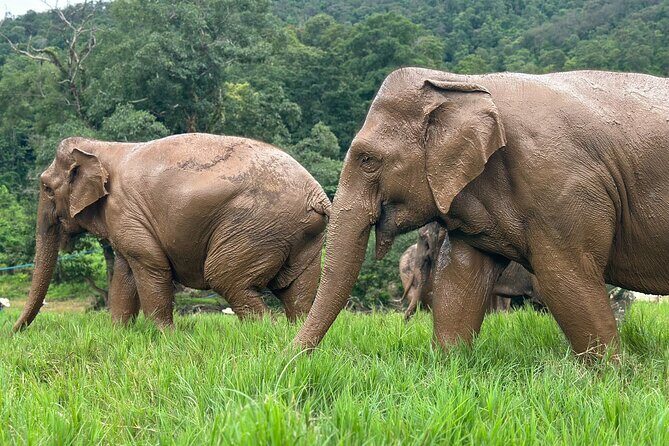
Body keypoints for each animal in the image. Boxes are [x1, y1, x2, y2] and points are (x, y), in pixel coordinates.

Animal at [14, 133, 330, 332]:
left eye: (45, 187)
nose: (14, 332)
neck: (102, 148)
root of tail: (317, 196)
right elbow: (125, 272)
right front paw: (118, 334)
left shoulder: (124, 210)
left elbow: (151, 266)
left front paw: (165, 337)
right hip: (300, 235)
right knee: (295, 290)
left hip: (254, 225)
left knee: (227, 279)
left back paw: (266, 334)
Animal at [294, 68, 669, 357]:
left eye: (368, 160)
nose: (289, 361)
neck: (461, 82)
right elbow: (460, 276)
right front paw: (447, 369)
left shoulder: (562, 189)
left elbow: (568, 279)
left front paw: (608, 380)